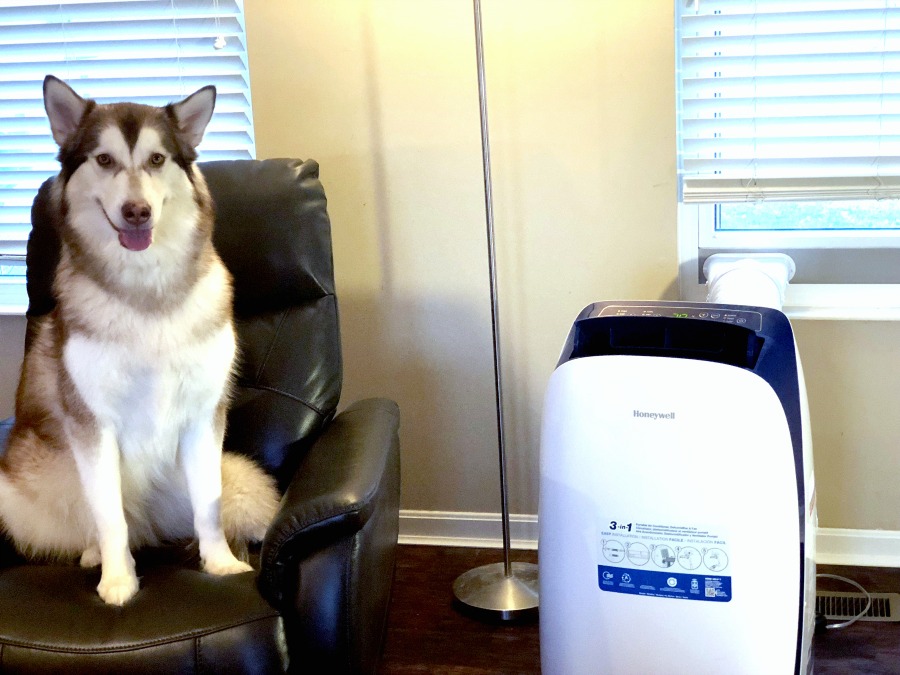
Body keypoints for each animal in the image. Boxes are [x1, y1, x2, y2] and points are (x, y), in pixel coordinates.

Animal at [0, 78, 280, 608]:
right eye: (104, 160)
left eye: (156, 159)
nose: (137, 212)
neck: (146, 290)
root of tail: (151, 527)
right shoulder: (93, 425)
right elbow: (109, 515)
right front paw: (118, 581)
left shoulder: (203, 416)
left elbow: (209, 506)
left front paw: (220, 563)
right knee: (101, 521)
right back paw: (95, 553)